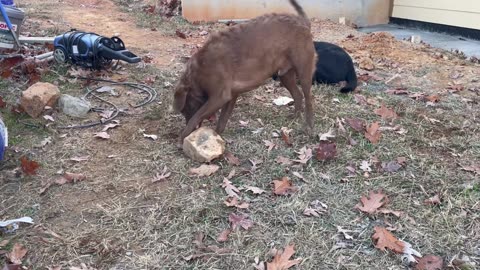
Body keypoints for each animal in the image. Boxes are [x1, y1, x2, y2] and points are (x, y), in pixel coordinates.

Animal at [174, 0, 316, 143]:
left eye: (186, 108)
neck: (198, 71)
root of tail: (304, 22)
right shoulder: (231, 94)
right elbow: (222, 120)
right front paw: (216, 136)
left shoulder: (219, 96)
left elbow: (196, 117)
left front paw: (182, 138)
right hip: (285, 75)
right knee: (298, 95)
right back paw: (294, 118)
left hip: (304, 70)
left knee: (308, 99)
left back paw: (309, 127)